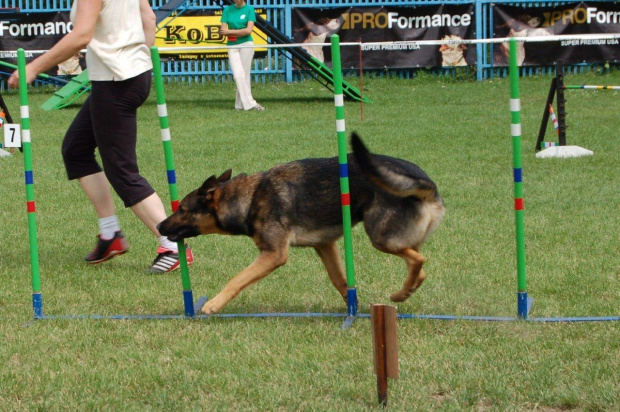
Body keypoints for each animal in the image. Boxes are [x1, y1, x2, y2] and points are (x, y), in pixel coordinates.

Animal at [157, 134, 444, 314]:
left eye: (182, 209)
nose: (159, 226)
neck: (249, 198)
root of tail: (425, 184)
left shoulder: (274, 254)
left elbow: (237, 279)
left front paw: (214, 304)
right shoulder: (325, 246)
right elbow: (339, 280)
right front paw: (353, 309)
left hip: (381, 237)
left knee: (418, 261)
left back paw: (400, 294)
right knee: (420, 268)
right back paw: (405, 292)